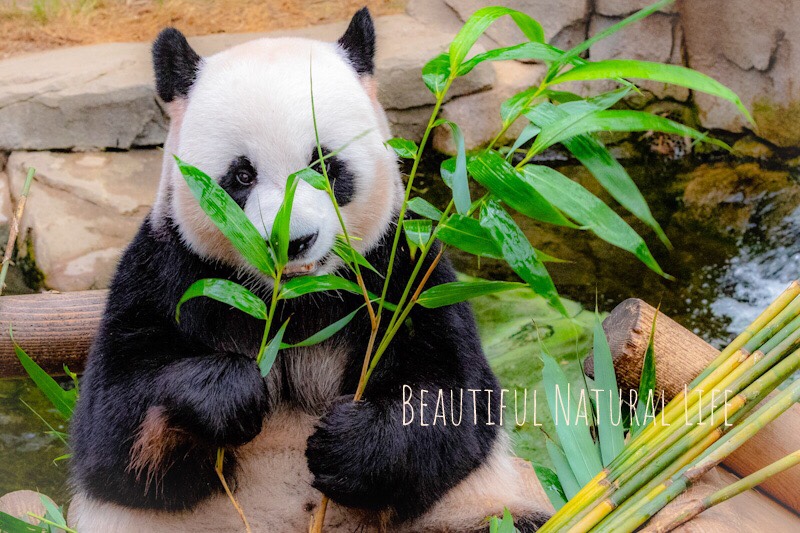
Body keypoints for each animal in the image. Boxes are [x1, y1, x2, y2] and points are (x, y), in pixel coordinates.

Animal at [69, 9, 552, 532]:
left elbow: (454, 399)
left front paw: (347, 446)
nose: (291, 241)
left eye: (323, 164)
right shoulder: (168, 269)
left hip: (468, 510)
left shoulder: (402, 269)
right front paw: (229, 393)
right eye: (242, 175)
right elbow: (112, 429)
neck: (293, 301)